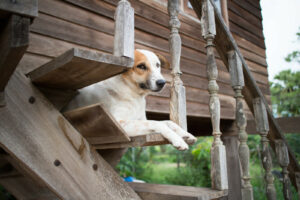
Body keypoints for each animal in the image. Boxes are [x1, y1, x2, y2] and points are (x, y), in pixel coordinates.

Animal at [65, 49, 197, 150]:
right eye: (141, 66)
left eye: (157, 65)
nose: (162, 82)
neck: (134, 95)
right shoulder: (119, 124)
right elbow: (157, 123)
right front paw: (177, 139)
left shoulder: (141, 119)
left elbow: (169, 122)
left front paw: (186, 134)